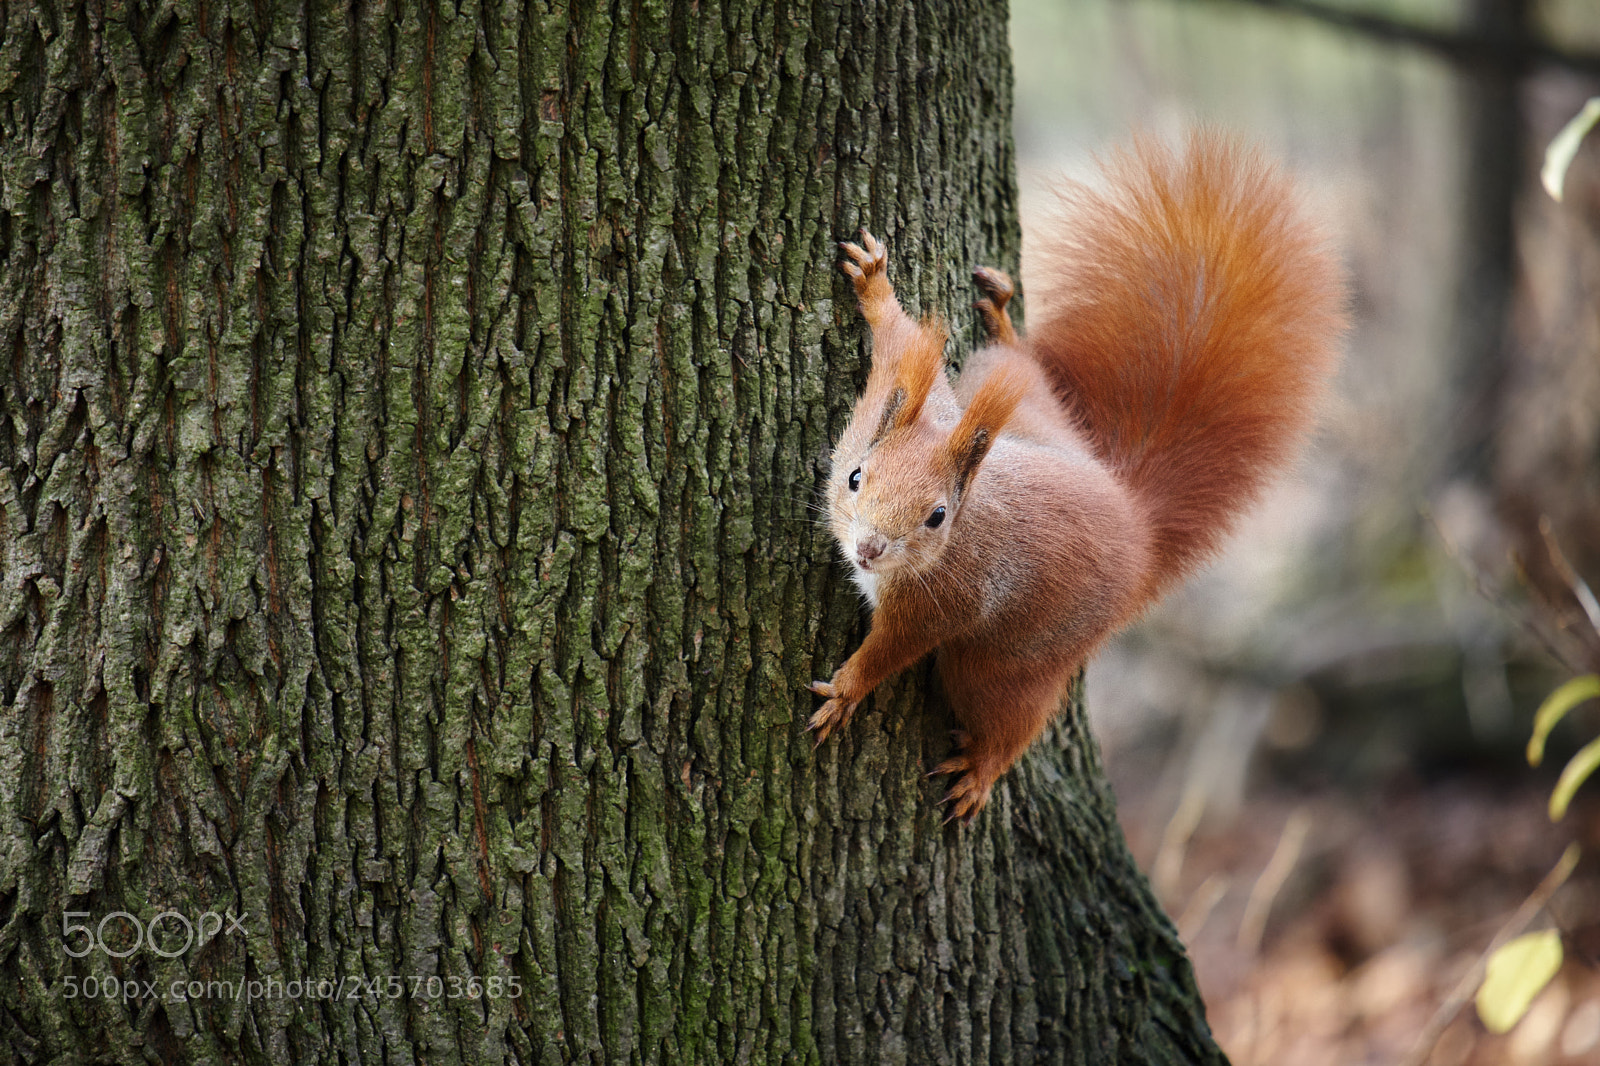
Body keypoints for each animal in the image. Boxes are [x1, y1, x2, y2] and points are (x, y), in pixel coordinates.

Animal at [807, 130, 1347, 823]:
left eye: (937, 516)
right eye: (854, 477)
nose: (869, 550)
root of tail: (1136, 528)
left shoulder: (940, 604)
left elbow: (891, 652)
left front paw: (846, 691)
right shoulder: (904, 399)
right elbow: (898, 340)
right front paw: (874, 284)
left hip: (1008, 659)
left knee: (1011, 715)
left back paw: (982, 770)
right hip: (1013, 398)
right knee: (1018, 369)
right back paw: (1005, 323)